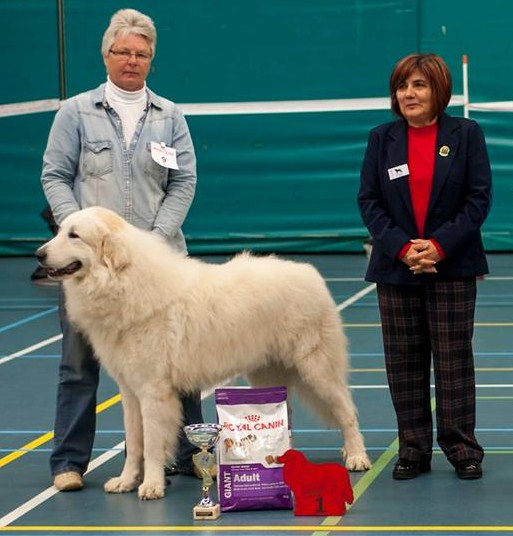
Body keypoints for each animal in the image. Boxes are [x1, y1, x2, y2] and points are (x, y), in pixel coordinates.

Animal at [37, 207, 372, 500]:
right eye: (61, 230)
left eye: (74, 235)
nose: (39, 254)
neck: (123, 281)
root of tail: (310, 273)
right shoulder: (130, 392)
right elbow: (134, 443)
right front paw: (127, 480)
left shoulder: (153, 392)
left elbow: (153, 443)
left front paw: (151, 485)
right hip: (267, 377)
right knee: (286, 417)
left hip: (317, 370)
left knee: (346, 411)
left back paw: (356, 455)